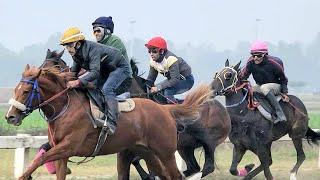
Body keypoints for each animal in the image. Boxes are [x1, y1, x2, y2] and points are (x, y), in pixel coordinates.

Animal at [5, 64, 211, 179]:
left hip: (165, 152)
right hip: (147, 153)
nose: (10, 116)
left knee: (175, 175)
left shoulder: (69, 146)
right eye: (15, 89)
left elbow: (39, 159)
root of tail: (164, 109)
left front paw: (23, 177)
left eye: (26, 91)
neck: (66, 107)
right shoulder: (61, 153)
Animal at [39, 49, 230, 179]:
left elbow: (139, 163)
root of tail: (222, 109)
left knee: (207, 163)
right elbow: (47, 146)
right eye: (43, 65)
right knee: (193, 167)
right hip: (185, 148)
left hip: (203, 139)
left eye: (56, 65)